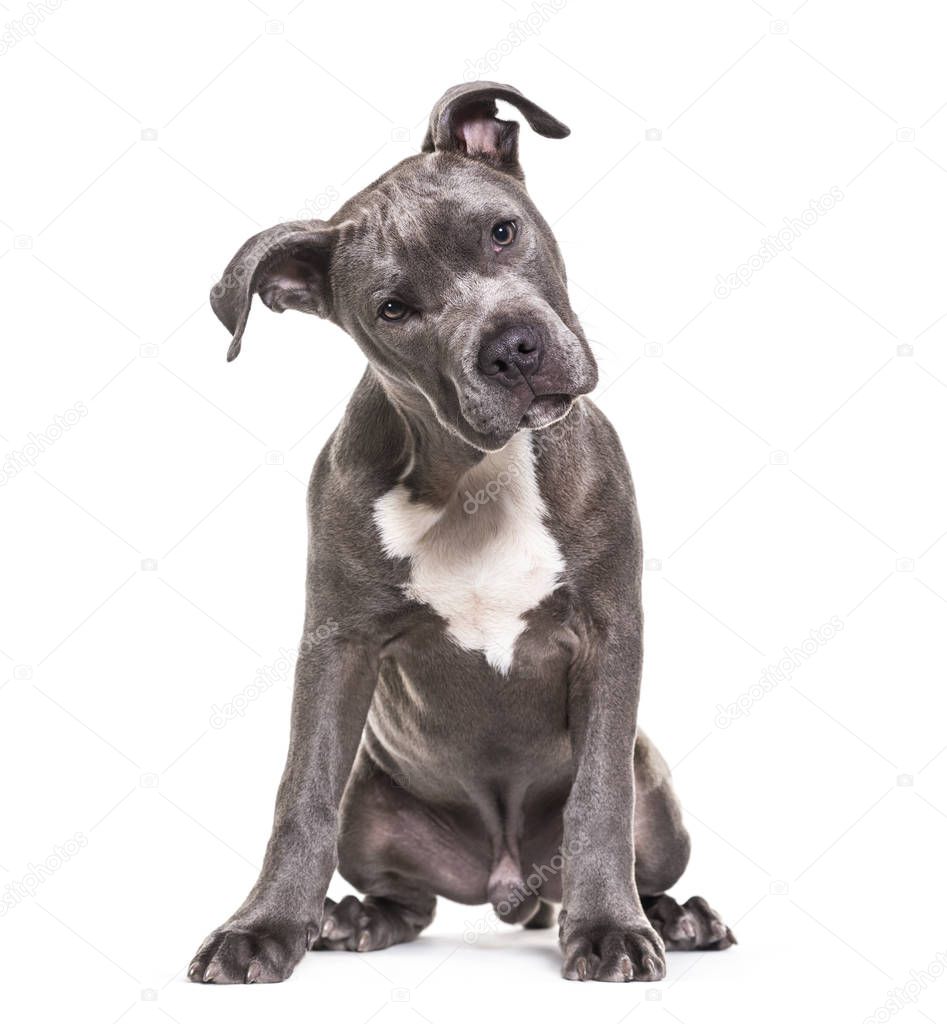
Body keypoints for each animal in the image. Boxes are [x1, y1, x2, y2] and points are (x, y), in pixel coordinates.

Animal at [188, 81, 737, 983]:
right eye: (393, 309)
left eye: (501, 231)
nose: (512, 349)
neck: (478, 472)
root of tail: (508, 881)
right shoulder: (336, 645)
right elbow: (299, 794)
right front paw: (261, 927)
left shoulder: (608, 633)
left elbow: (598, 801)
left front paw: (609, 928)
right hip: (372, 802)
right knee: (404, 897)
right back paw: (351, 919)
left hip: (654, 787)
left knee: (633, 839)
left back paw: (671, 915)